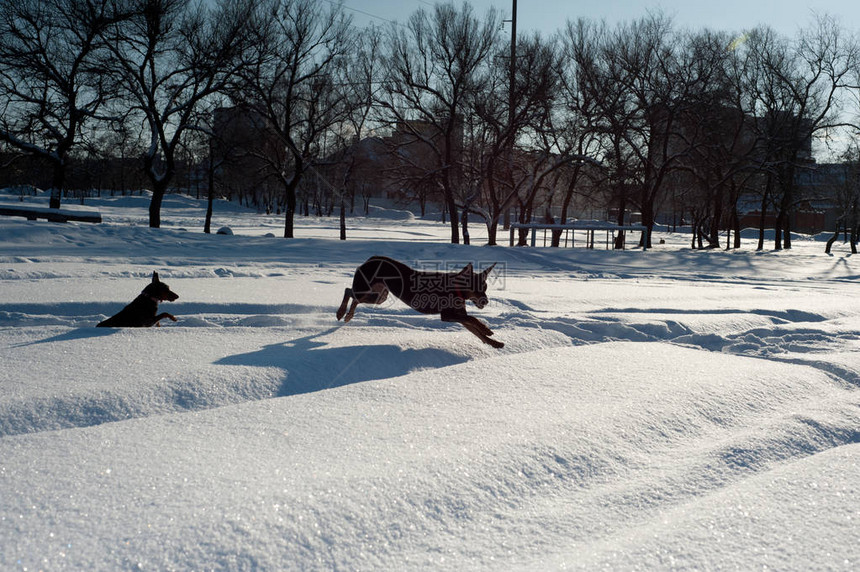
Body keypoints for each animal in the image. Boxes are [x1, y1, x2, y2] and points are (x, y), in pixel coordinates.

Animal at [332, 256, 500, 346]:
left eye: (485, 287)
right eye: (476, 289)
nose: (486, 301)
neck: (455, 289)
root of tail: (371, 259)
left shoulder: (458, 316)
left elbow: (476, 331)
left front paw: (495, 343)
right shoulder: (447, 315)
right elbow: (472, 319)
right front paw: (487, 330)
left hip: (380, 296)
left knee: (353, 296)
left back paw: (348, 315)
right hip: (367, 289)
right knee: (348, 291)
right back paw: (342, 313)